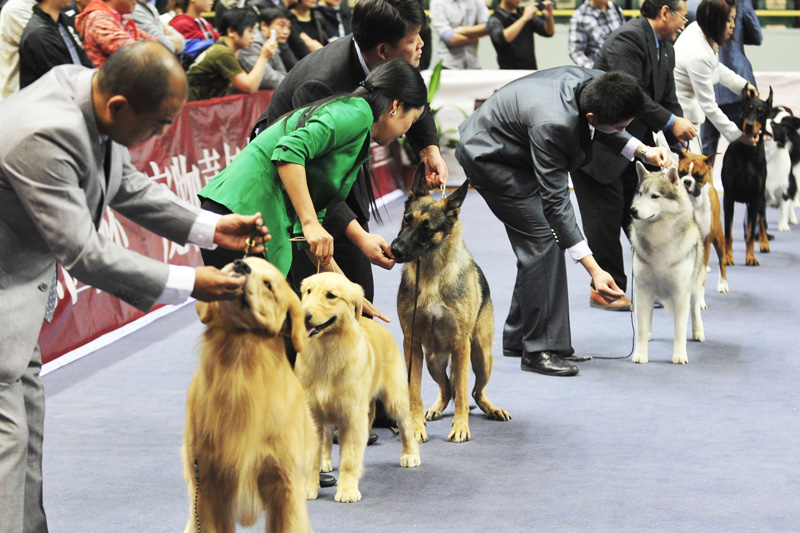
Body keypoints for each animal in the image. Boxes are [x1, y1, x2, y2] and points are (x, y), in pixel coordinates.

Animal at [390, 164, 512, 442]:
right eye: (407, 219)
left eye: (426, 228)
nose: (394, 249)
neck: (432, 275)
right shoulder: (411, 344)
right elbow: (414, 391)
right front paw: (416, 427)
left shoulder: (460, 345)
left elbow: (464, 394)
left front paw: (460, 428)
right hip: (433, 360)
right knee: (446, 389)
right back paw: (433, 409)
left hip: (480, 356)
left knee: (474, 391)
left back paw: (492, 409)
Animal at [720, 87, 772, 266]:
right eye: (747, 108)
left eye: (761, 112)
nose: (749, 126)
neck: (747, 151)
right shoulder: (728, 197)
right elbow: (728, 233)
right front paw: (727, 257)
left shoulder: (755, 198)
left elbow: (750, 234)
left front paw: (751, 257)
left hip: (761, 198)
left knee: (760, 220)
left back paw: (764, 243)